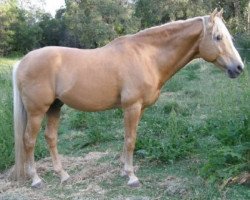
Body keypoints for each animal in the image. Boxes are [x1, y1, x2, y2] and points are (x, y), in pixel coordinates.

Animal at [12, 9, 244, 188]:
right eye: (218, 37)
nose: (239, 68)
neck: (147, 56)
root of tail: (23, 61)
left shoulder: (138, 108)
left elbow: (127, 138)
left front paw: (124, 170)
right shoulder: (132, 106)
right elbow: (131, 140)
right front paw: (132, 177)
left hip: (55, 107)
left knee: (50, 138)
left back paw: (63, 175)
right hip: (37, 111)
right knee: (28, 140)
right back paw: (36, 180)